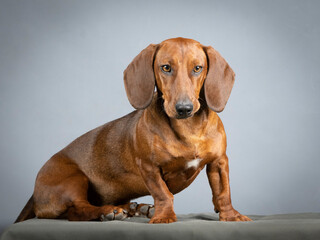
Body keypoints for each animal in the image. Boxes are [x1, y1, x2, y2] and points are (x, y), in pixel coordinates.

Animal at [15, 37, 251, 223]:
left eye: (198, 68)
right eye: (166, 67)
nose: (184, 108)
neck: (188, 129)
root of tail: (35, 193)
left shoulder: (219, 162)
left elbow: (223, 193)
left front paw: (230, 215)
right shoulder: (148, 167)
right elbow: (163, 193)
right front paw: (164, 216)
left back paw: (136, 208)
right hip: (74, 179)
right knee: (76, 210)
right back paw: (108, 212)